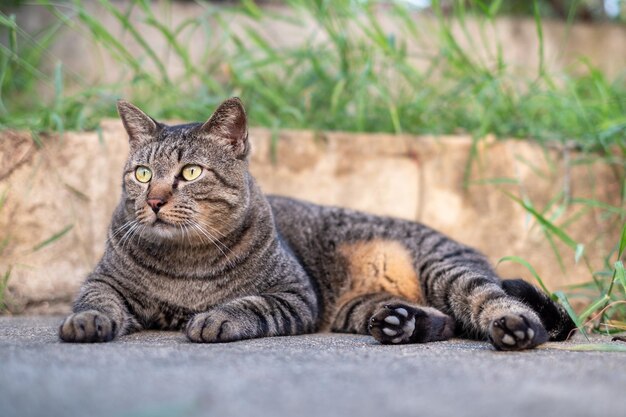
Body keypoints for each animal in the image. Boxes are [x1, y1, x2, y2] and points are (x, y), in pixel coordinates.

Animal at [57, 96, 572, 348]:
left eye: (190, 173)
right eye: (143, 174)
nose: (156, 200)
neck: (186, 261)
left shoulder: (294, 294)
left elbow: (248, 304)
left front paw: (215, 317)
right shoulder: (104, 280)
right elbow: (95, 300)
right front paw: (85, 322)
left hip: (447, 270)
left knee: (493, 302)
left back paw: (515, 329)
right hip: (359, 308)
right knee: (445, 322)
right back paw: (402, 323)